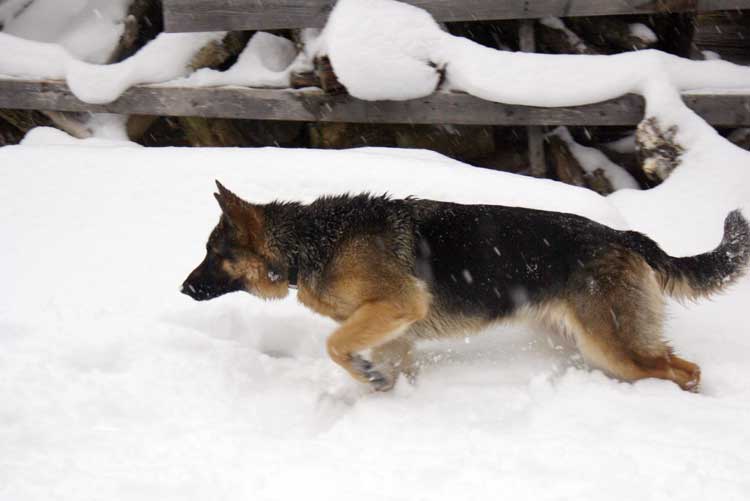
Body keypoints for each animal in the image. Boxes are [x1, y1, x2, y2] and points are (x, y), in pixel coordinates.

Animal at [184, 182, 750, 392]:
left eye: (214, 254)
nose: (183, 290)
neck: (309, 245)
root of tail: (624, 235)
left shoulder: (397, 305)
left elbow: (336, 345)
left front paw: (365, 376)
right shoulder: (394, 331)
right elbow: (383, 363)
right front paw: (379, 389)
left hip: (613, 347)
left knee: (685, 369)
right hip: (592, 345)